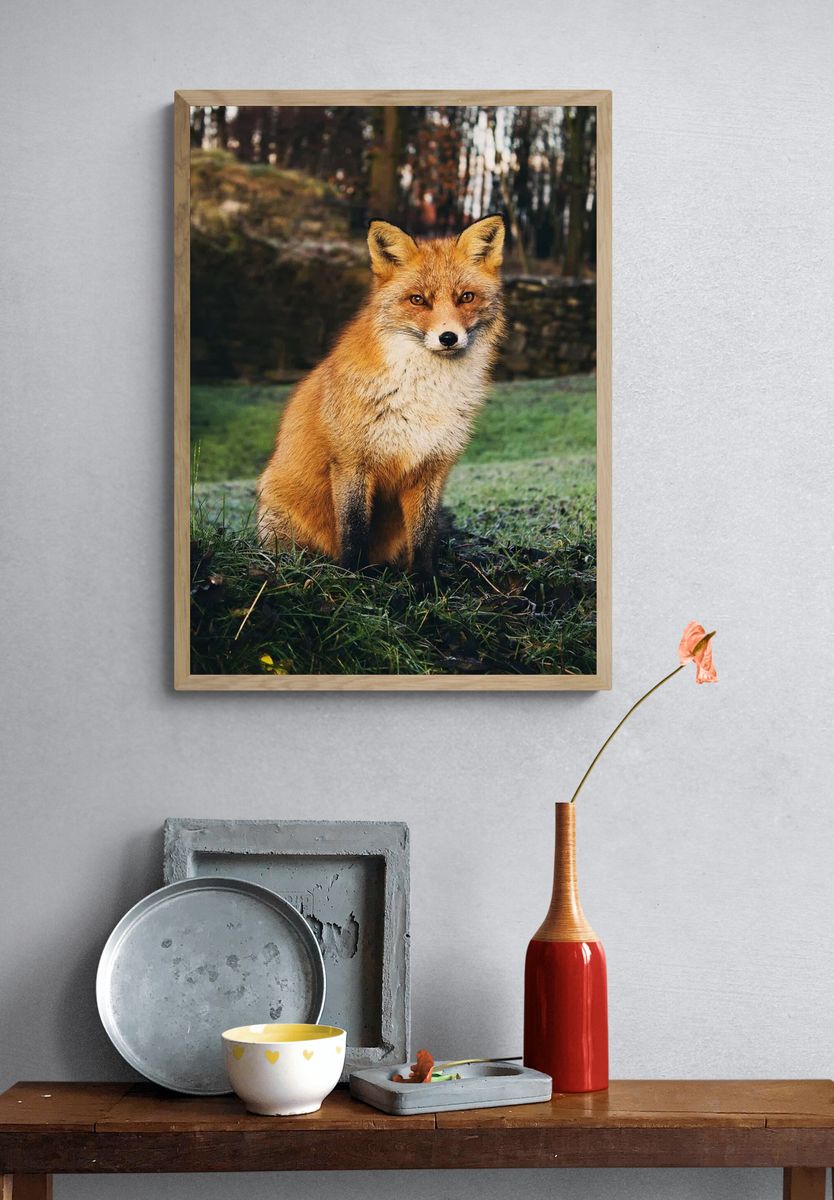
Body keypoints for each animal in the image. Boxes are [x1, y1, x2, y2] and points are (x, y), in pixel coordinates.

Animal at [256, 213, 506, 575]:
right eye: (418, 299)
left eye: (466, 297)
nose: (448, 337)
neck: (424, 395)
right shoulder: (352, 462)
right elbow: (354, 530)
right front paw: (353, 577)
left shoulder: (432, 467)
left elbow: (424, 537)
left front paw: (425, 581)